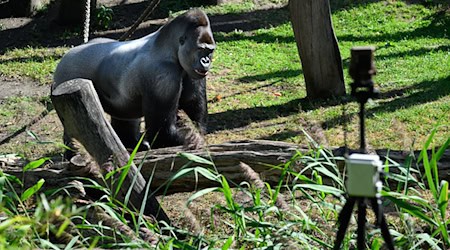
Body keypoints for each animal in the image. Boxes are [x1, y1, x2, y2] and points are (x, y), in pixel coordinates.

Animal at [52, 8, 214, 151]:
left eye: (210, 51)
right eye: (200, 49)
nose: (206, 61)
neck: (170, 48)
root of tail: (65, 57)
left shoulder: (191, 70)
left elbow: (192, 103)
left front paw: (197, 131)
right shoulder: (163, 76)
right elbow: (163, 132)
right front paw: (191, 139)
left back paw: (130, 143)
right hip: (66, 78)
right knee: (72, 126)